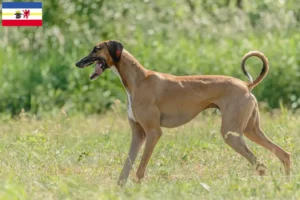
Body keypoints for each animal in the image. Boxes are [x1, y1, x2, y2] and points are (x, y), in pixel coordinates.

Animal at [75, 39, 290, 185]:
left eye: (96, 48)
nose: (78, 63)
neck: (138, 80)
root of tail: (246, 85)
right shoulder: (138, 134)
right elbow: (126, 169)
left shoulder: (153, 133)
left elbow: (140, 170)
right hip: (250, 131)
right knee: (282, 154)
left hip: (232, 134)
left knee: (260, 164)